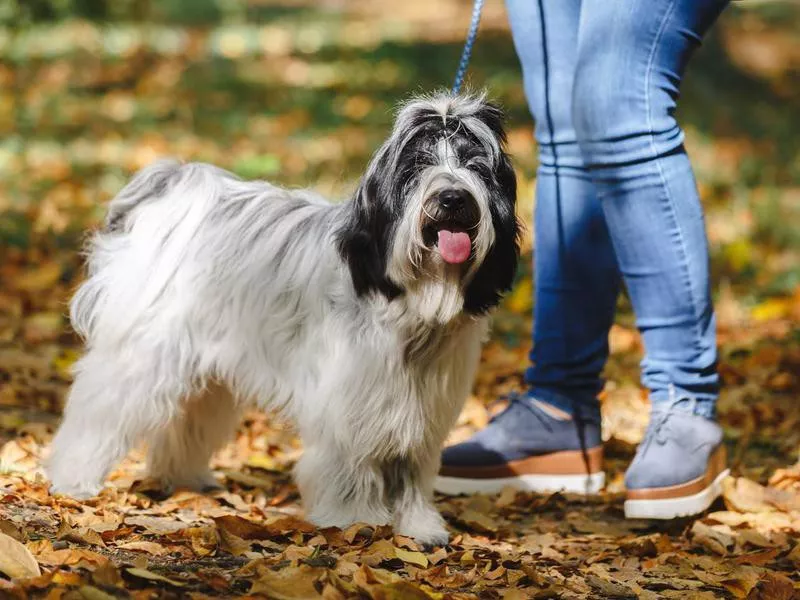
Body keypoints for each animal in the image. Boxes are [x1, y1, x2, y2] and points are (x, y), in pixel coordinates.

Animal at [48, 92, 520, 544]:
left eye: (477, 166)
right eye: (417, 165)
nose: (453, 197)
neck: (413, 303)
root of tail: (174, 191)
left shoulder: (420, 410)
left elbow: (410, 473)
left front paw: (418, 526)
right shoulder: (349, 403)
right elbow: (351, 466)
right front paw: (356, 520)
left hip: (206, 371)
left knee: (188, 421)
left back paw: (184, 479)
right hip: (140, 357)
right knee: (99, 411)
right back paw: (71, 479)